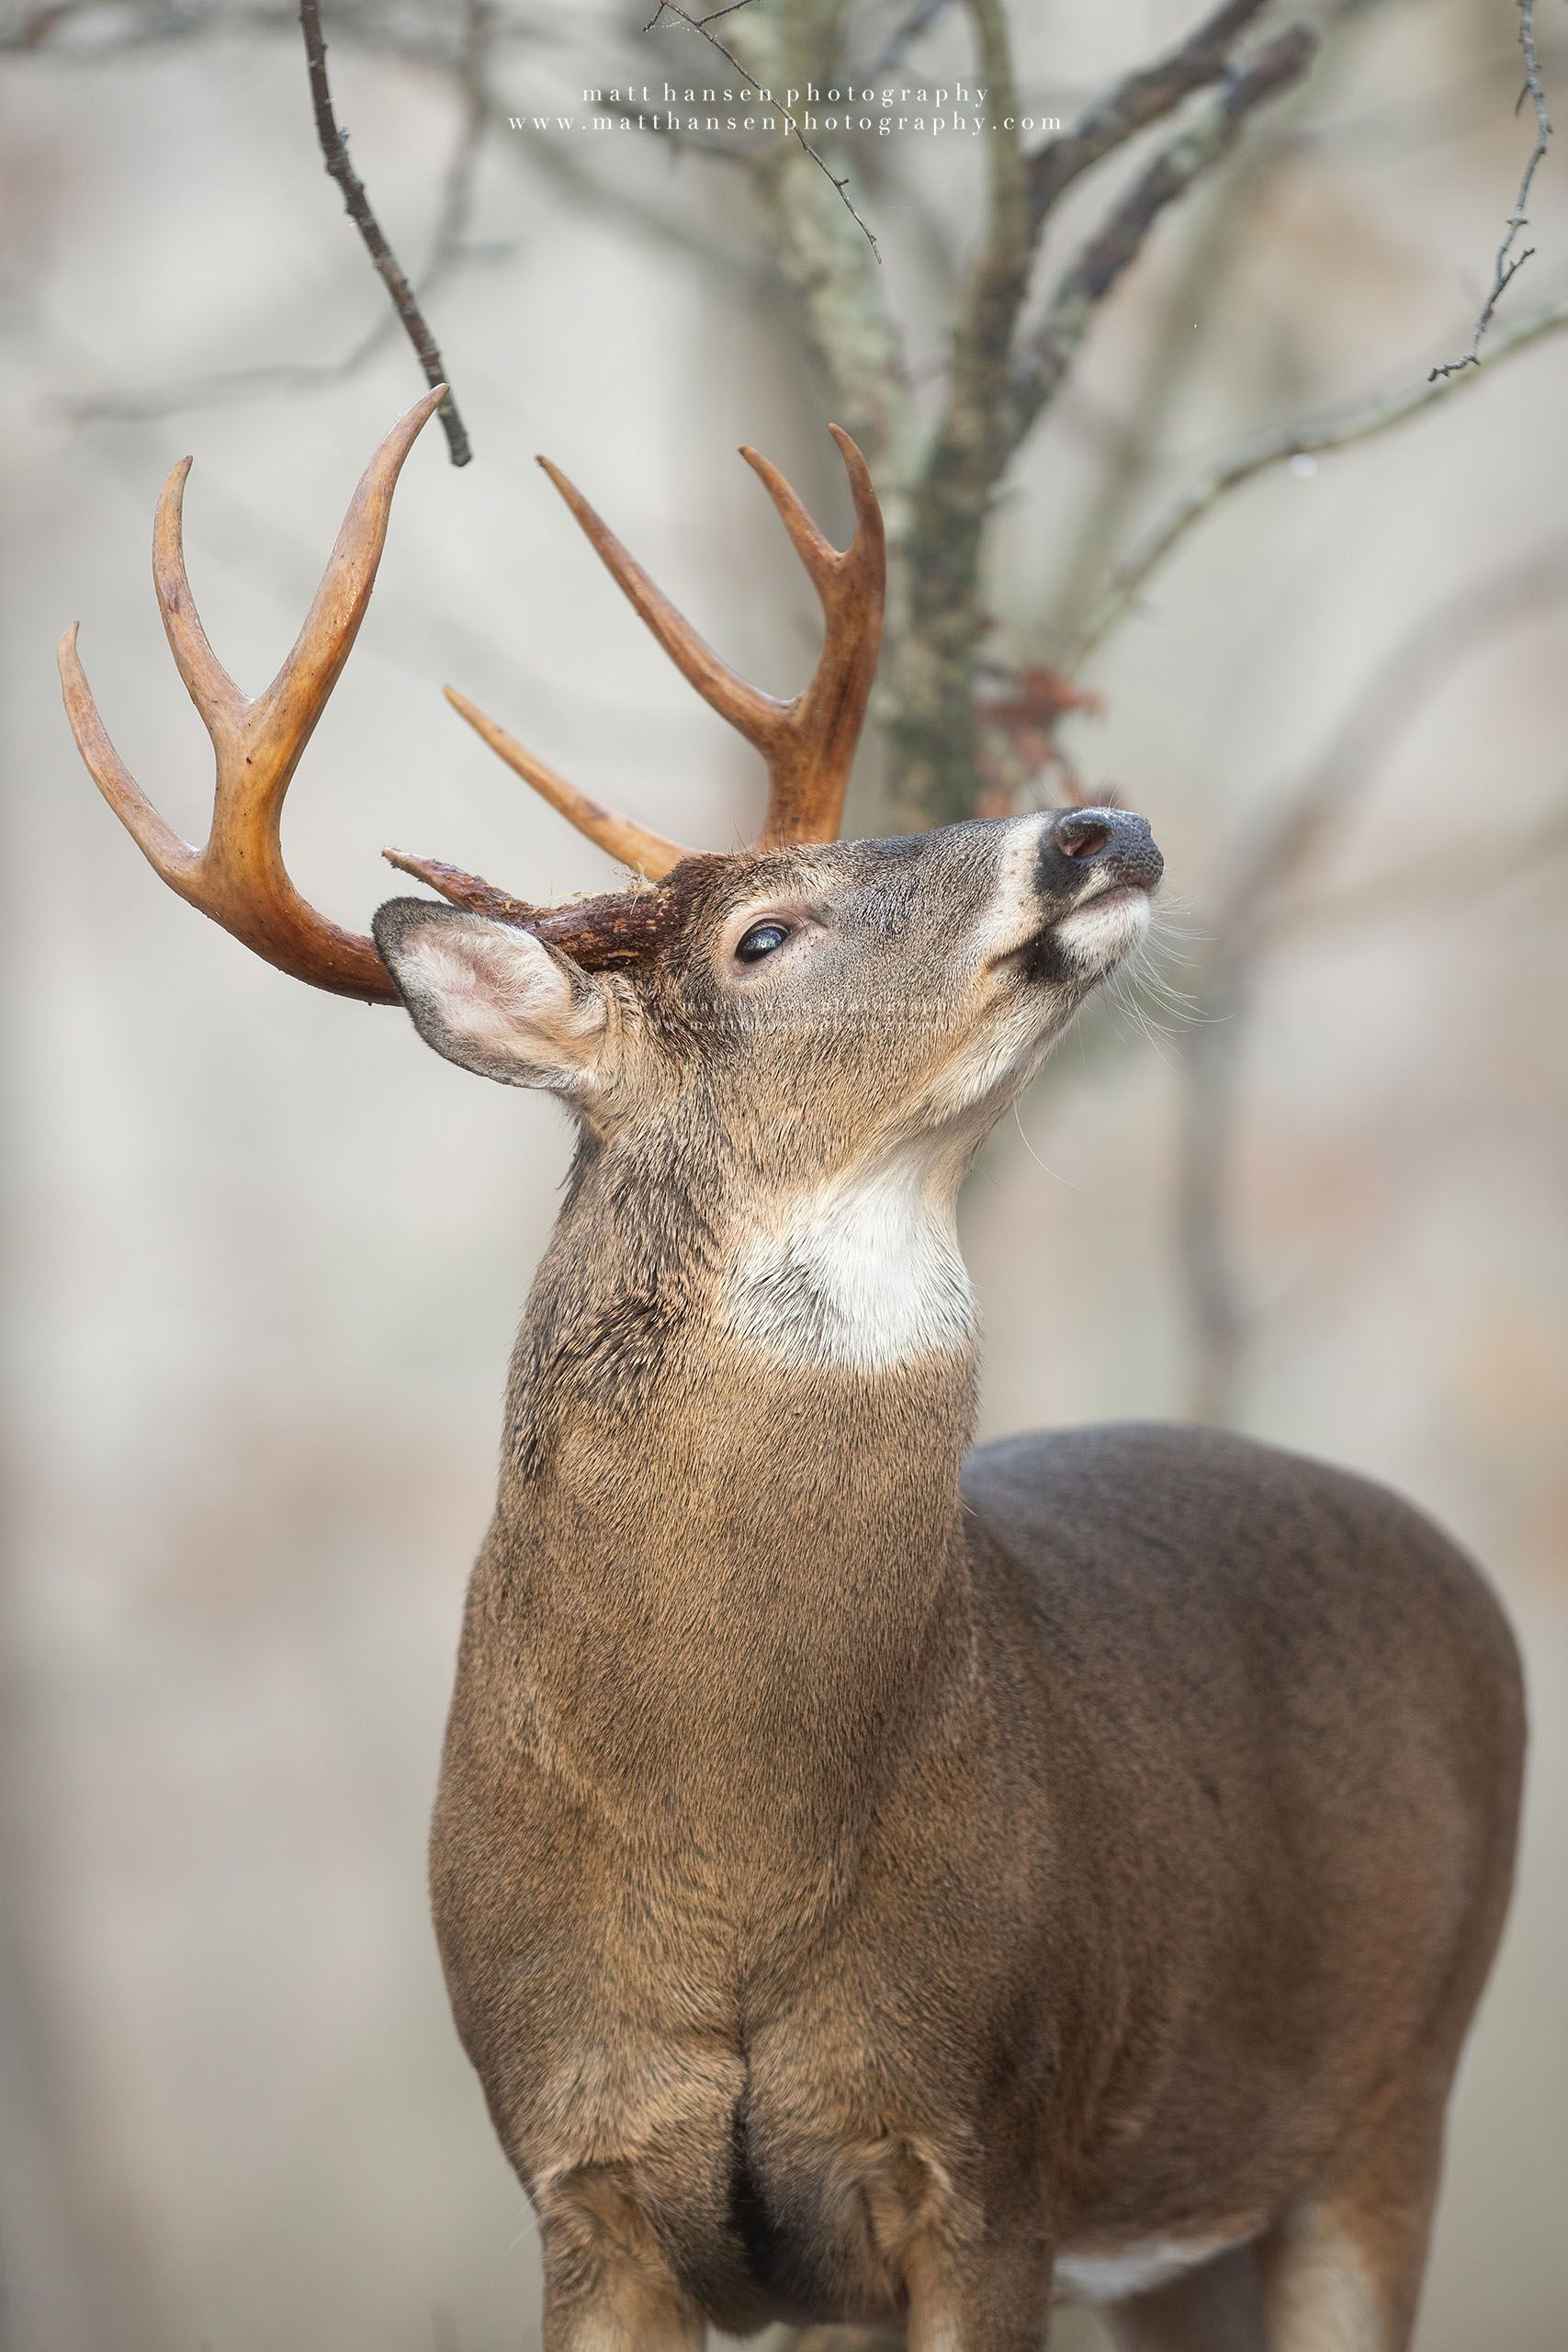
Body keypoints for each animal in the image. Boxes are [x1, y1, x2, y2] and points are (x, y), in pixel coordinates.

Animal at [61, 386, 1524, 2352]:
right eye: (763, 938)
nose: (1098, 828)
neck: (724, 1845)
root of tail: (1465, 1578)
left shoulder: (986, 2153)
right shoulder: (582, 2172)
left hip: (1392, 2097)